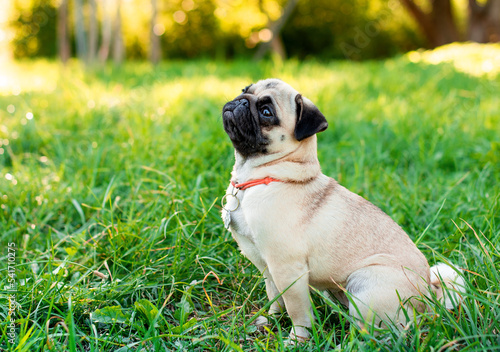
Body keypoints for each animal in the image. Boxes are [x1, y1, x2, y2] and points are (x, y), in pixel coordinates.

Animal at [221, 77, 462, 340]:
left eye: (266, 112)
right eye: (244, 90)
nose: (241, 101)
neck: (260, 178)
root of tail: (429, 295)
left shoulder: (287, 268)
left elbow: (297, 309)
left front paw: (298, 338)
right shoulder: (266, 265)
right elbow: (274, 296)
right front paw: (271, 319)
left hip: (364, 282)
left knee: (396, 327)